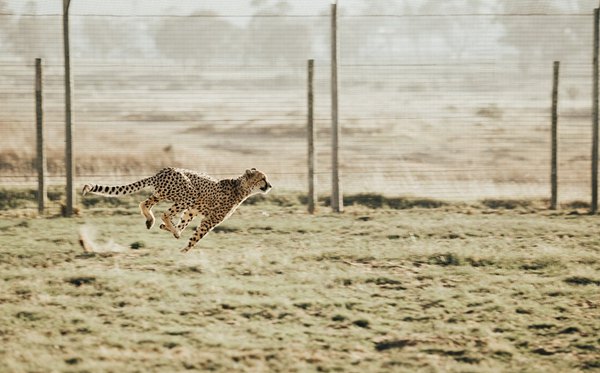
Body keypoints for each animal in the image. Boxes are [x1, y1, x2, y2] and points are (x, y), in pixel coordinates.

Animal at [81, 167, 272, 251]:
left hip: (163, 194)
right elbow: (196, 237)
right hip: (188, 194)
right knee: (165, 213)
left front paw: (171, 230)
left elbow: (184, 222)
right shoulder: (209, 220)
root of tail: (163, 171)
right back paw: (167, 226)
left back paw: (152, 221)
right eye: (263, 178)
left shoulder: (192, 210)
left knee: (145, 203)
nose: (270, 185)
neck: (240, 187)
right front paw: (183, 251)